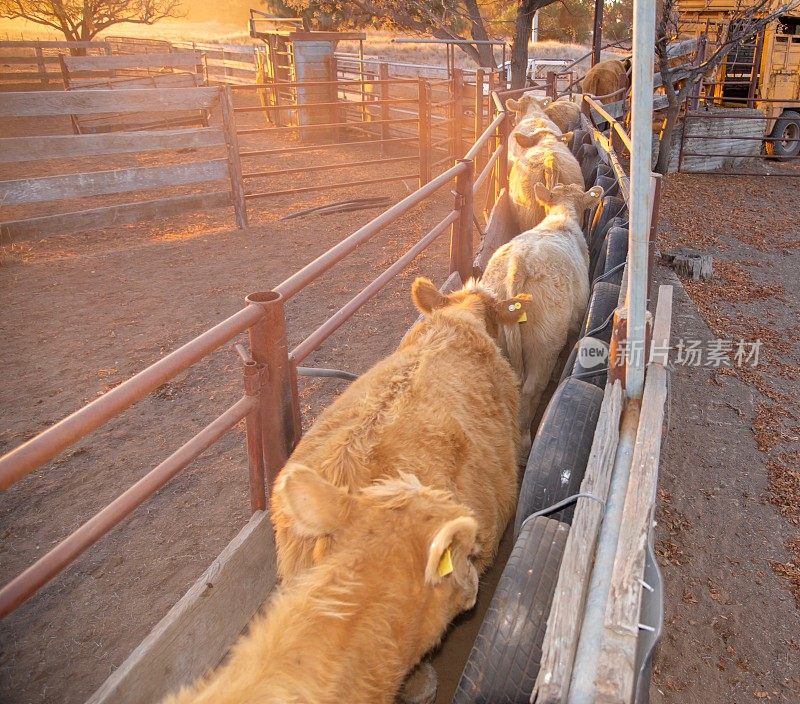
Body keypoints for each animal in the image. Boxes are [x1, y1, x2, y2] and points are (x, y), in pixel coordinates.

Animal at [482, 184, 600, 454]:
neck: (561, 217)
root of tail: (518, 264)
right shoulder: (576, 318)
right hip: (543, 346)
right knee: (531, 390)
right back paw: (525, 442)